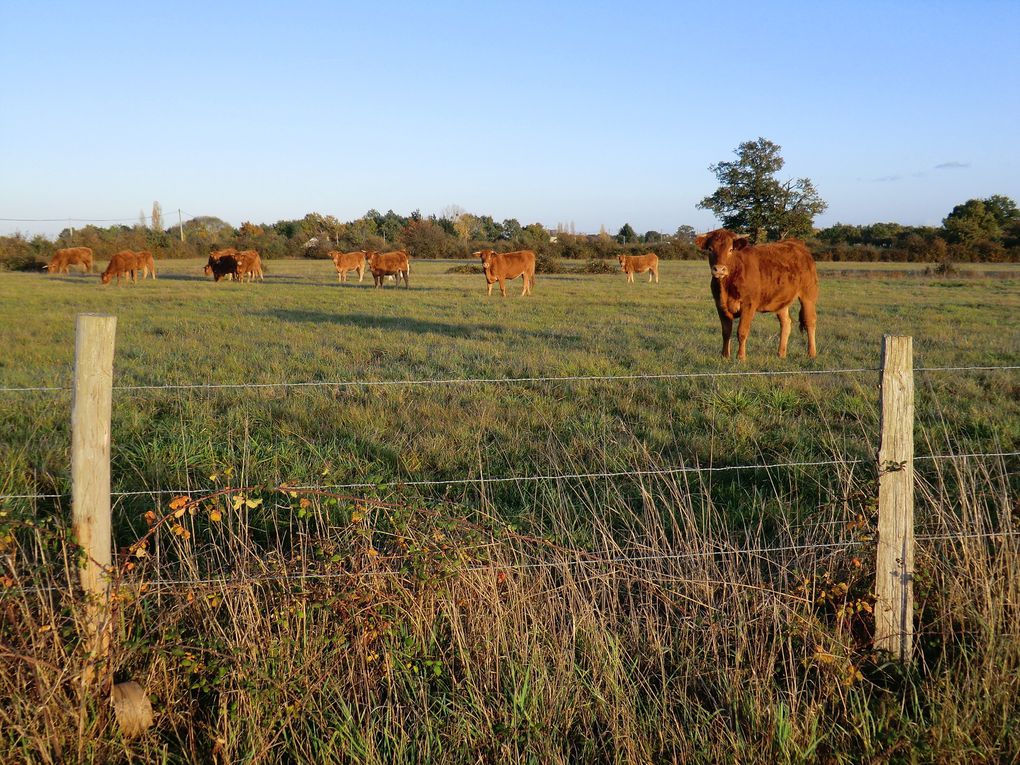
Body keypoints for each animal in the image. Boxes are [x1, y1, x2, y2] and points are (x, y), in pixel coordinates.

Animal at [693, 229, 820, 361]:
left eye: (731, 249)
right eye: (710, 249)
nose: (719, 269)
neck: (725, 286)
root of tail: (797, 244)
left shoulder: (748, 304)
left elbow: (742, 331)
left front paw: (741, 357)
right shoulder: (720, 305)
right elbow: (726, 332)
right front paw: (725, 356)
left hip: (808, 296)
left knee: (810, 321)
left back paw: (811, 353)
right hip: (781, 301)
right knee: (786, 323)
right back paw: (781, 354)